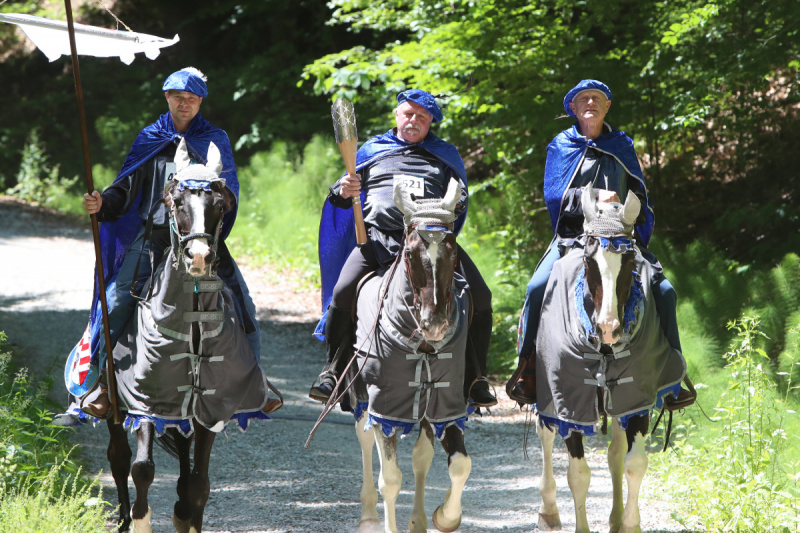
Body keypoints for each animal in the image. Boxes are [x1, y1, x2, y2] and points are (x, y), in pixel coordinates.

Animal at [104, 140, 272, 532]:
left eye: (221, 204)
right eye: (176, 201)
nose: (198, 257)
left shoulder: (211, 408)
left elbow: (198, 483)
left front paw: (187, 516)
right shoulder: (147, 403)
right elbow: (142, 469)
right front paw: (140, 520)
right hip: (115, 405)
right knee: (118, 456)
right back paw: (122, 516)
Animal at [346, 180, 472, 532]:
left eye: (453, 251)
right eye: (410, 253)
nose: (435, 324)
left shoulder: (443, 403)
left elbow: (459, 464)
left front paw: (445, 516)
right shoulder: (384, 405)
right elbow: (390, 478)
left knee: (420, 458)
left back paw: (417, 520)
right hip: (359, 390)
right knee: (363, 438)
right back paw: (369, 517)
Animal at [536, 184, 684, 532]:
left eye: (629, 262)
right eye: (589, 261)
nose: (608, 328)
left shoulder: (637, 396)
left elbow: (634, 463)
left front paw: (629, 523)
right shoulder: (569, 399)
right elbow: (578, 474)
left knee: (615, 452)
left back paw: (615, 517)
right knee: (545, 434)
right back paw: (549, 509)